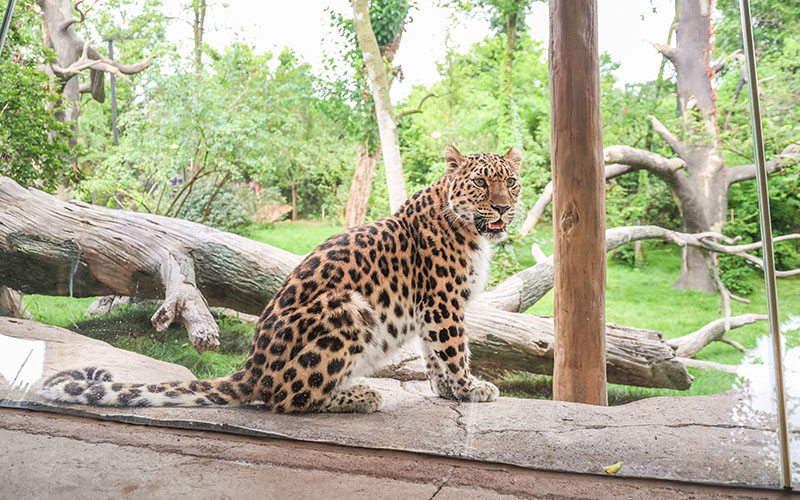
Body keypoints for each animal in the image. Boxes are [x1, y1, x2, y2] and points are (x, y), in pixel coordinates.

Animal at [40, 145, 522, 413]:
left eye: (512, 183)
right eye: (481, 184)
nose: (503, 208)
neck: (470, 230)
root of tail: (251, 365)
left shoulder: (431, 307)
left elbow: (432, 353)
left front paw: (447, 391)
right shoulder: (443, 303)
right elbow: (454, 350)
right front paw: (471, 388)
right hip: (348, 308)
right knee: (288, 399)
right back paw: (360, 396)